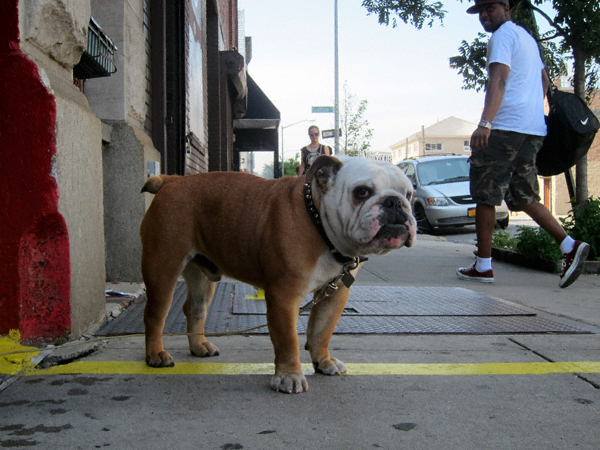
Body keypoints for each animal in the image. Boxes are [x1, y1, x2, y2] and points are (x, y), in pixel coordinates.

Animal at [140, 155, 416, 393]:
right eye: (362, 192)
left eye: (409, 194)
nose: (394, 202)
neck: (319, 223)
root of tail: (171, 180)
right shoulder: (284, 296)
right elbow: (288, 340)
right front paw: (289, 376)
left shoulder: (334, 295)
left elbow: (322, 330)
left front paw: (323, 361)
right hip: (163, 267)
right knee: (155, 315)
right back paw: (155, 355)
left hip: (202, 277)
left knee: (195, 309)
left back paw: (199, 346)